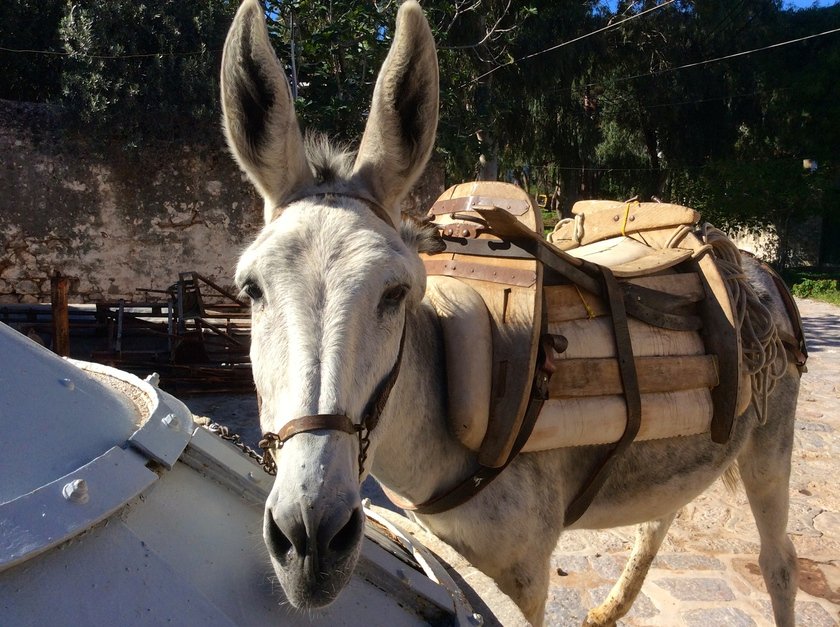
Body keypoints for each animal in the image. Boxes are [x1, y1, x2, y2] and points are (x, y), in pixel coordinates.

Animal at [220, 1, 802, 624]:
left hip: (770, 445)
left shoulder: (527, 572)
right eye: (251, 290)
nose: (310, 540)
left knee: (780, 563)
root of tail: (750, 264)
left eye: (395, 293)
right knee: (661, 513)